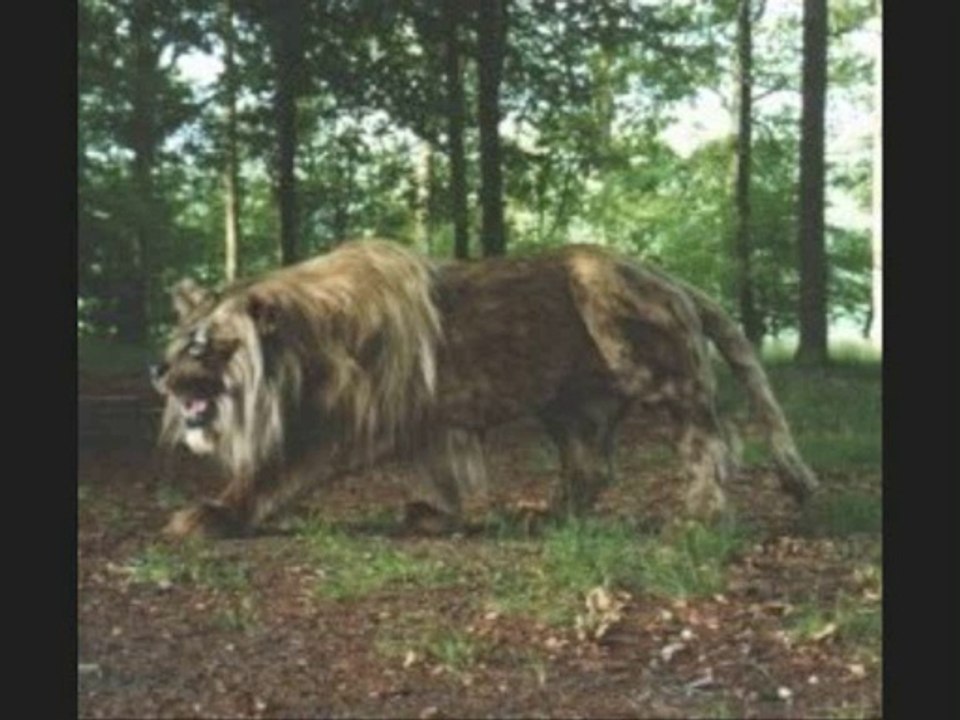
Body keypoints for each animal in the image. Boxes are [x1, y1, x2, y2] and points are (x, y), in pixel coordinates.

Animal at [152, 239, 818, 538]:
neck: (301, 352)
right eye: (177, 341)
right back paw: (545, 517)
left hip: (649, 360)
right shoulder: (421, 422)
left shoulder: (344, 424)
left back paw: (702, 513)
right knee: (593, 469)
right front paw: (434, 515)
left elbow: (273, 471)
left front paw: (214, 514)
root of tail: (671, 278)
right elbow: (438, 472)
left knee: (714, 437)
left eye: (203, 347)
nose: (158, 375)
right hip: (571, 408)